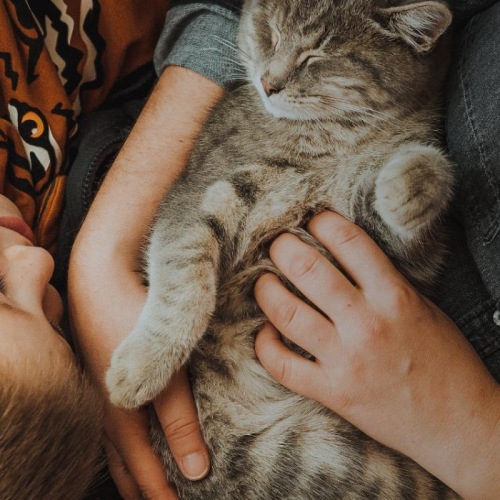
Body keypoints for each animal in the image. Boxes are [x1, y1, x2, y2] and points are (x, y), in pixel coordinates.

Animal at [107, 1, 458, 498]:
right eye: (270, 32)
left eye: (316, 55)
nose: (268, 82)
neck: (333, 139)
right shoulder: (198, 197)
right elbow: (184, 285)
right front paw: (142, 367)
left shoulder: (393, 249)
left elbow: (416, 184)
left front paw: (409, 183)